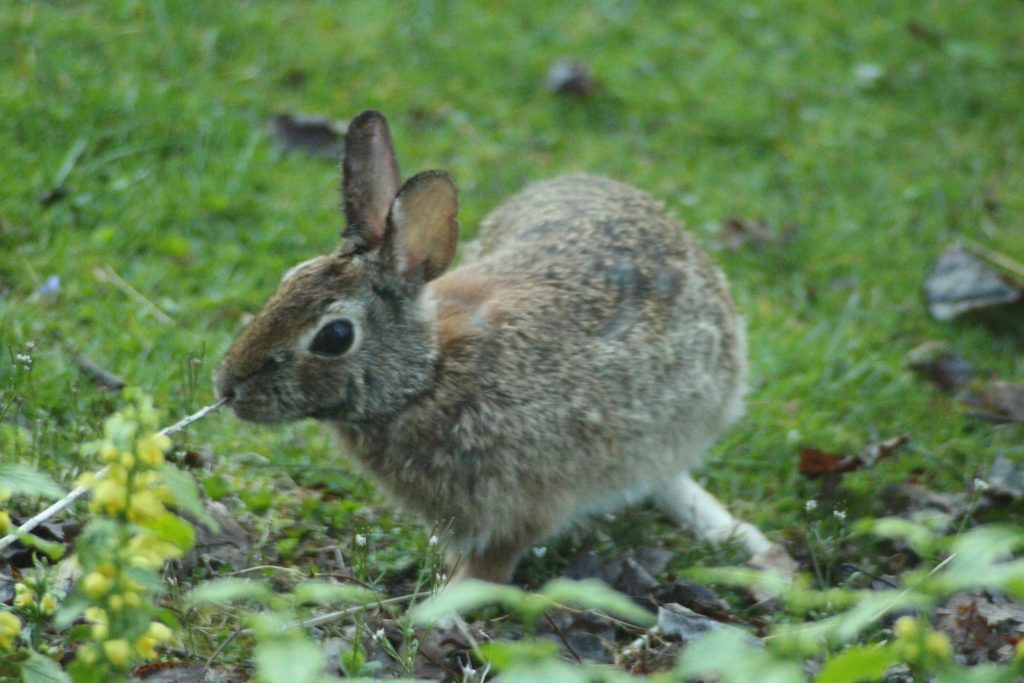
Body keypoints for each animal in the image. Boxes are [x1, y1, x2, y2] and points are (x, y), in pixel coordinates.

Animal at [216, 109, 782, 585]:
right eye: (288, 280)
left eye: (334, 337)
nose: (228, 387)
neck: (427, 378)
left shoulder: (523, 504)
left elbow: (492, 566)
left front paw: (446, 605)